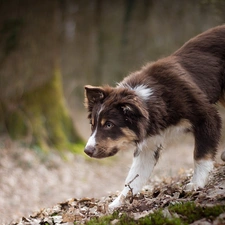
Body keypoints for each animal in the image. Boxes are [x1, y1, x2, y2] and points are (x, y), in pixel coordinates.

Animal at [83, 25, 225, 209]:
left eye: (108, 124)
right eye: (92, 125)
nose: (86, 151)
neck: (150, 101)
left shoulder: (207, 116)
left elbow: (201, 154)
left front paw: (196, 184)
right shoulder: (149, 144)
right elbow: (134, 176)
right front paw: (116, 204)